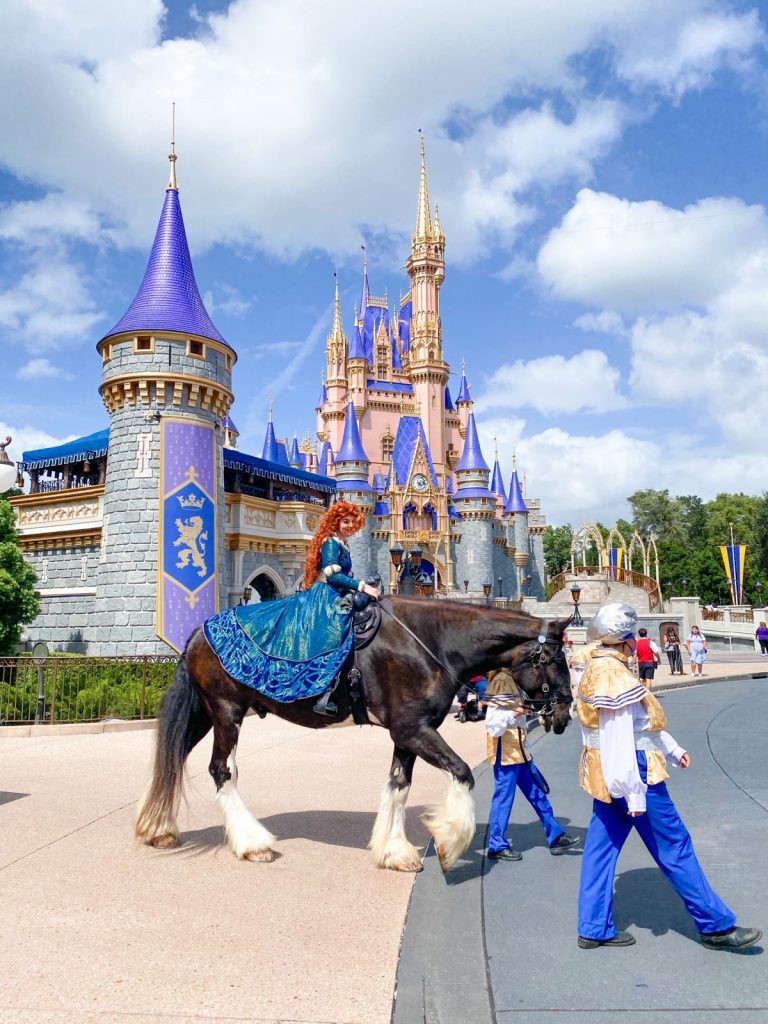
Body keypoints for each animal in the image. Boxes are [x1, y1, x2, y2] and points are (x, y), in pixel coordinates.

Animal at [135, 598, 573, 872]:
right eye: (555, 659)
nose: (565, 713)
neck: (431, 642)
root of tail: (197, 632)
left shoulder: (407, 733)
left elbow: (398, 786)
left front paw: (394, 852)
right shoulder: (414, 729)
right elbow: (462, 772)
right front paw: (449, 844)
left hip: (204, 714)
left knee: (172, 758)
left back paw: (157, 828)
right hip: (227, 713)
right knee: (221, 770)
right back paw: (251, 843)